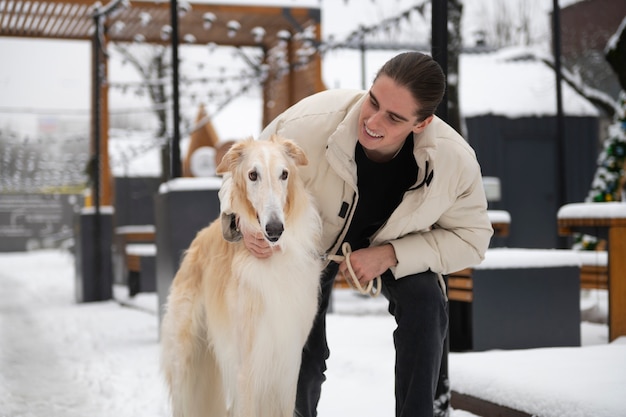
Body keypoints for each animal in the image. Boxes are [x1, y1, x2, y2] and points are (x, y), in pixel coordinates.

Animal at [160, 134, 322, 416]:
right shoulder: (247, 367)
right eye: (252, 175)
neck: (272, 257)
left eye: (284, 174)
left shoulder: (287, 365)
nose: (274, 229)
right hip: (186, 364)